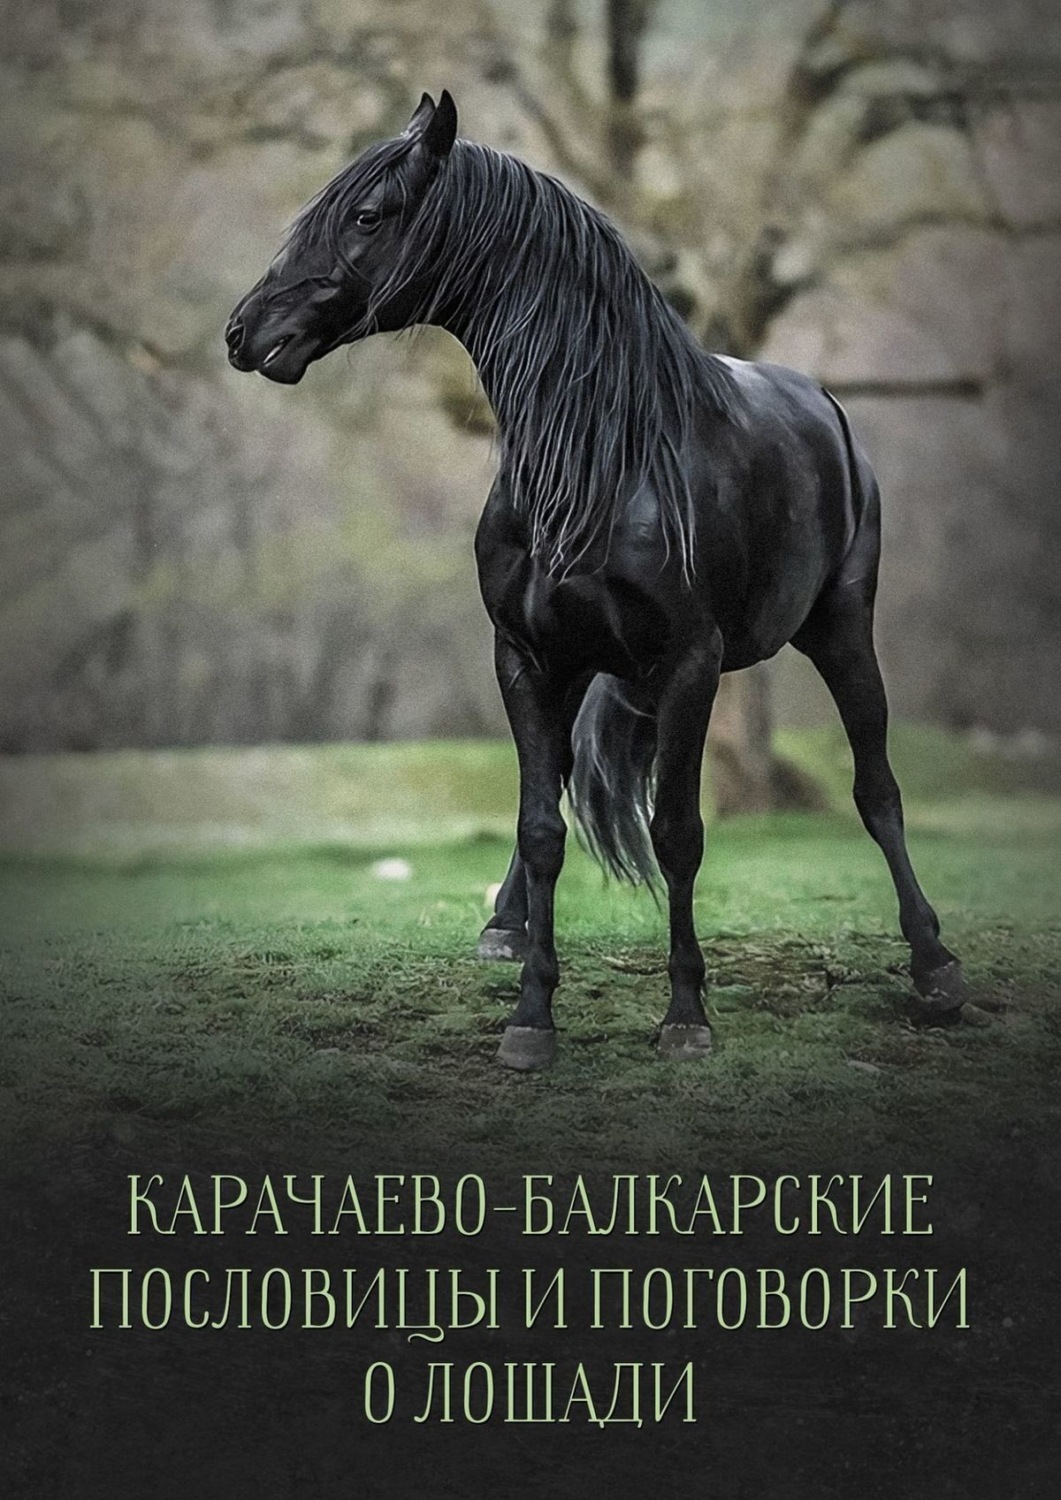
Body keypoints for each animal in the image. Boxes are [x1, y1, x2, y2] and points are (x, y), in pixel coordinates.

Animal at [226, 89, 967, 1070]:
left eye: (367, 215)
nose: (242, 332)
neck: (600, 460)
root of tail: (826, 406)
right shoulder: (528, 658)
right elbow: (543, 829)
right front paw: (530, 1015)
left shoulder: (689, 665)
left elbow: (679, 835)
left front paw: (685, 1014)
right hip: (593, 670)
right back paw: (502, 928)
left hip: (842, 631)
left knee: (876, 789)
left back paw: (933, 966)